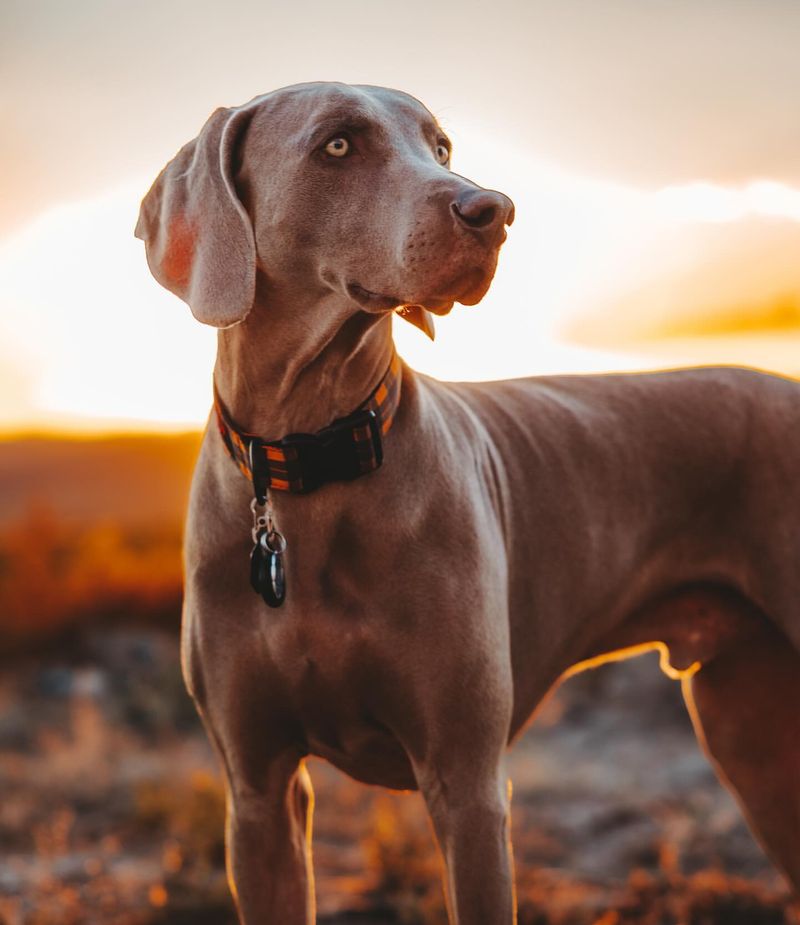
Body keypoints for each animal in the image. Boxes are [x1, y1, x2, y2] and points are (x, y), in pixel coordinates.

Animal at [138, 83, 800, 920]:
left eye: (442, 146)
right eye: (337, 144)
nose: (496, 209)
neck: (312, 455)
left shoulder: (468, 784)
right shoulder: (258, 793)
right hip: (748, 716)